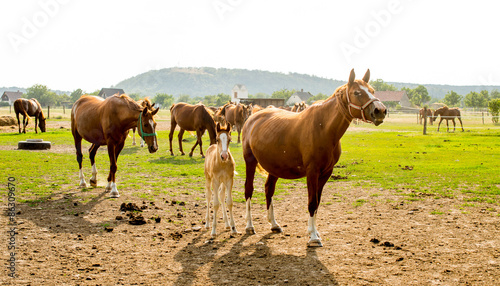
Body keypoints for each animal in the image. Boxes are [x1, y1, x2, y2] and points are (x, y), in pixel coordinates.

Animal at [242, 68, 386, 246]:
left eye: (372, 90)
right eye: (357, 92)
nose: (380, 111)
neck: (323, 128)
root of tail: (252, 118)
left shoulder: (326, 173)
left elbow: (317, 203)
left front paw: (315, 232)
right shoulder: (312, 172)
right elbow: (311, 202)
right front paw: (313, 237)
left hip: (274, 167)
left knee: (269, 189)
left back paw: (274, 224)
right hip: (250, 161)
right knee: (249, 190)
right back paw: (249, 226)